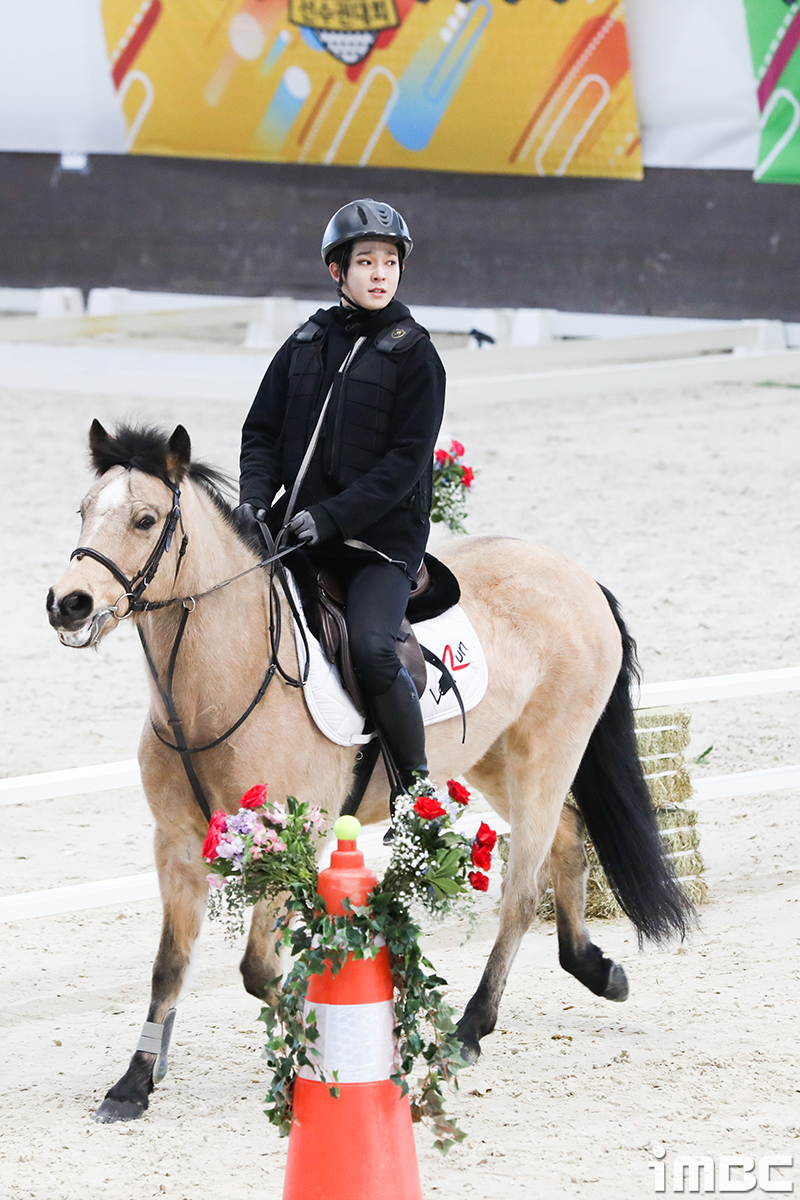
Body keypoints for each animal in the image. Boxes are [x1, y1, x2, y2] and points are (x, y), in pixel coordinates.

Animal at [47, 424, 690, 1123]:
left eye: (145, 519)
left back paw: (470, 1030)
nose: (69, 604)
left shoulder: (289, 834)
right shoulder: (178, 846)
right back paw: (596, 970)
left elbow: (259, 970)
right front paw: (132, 1086)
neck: (214, 684)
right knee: (568, 840)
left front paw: (319, 1059)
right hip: (496, 758)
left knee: (522, 892)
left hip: (548, 751)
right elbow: (170, 966)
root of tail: (576, 574)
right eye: (84, 510)